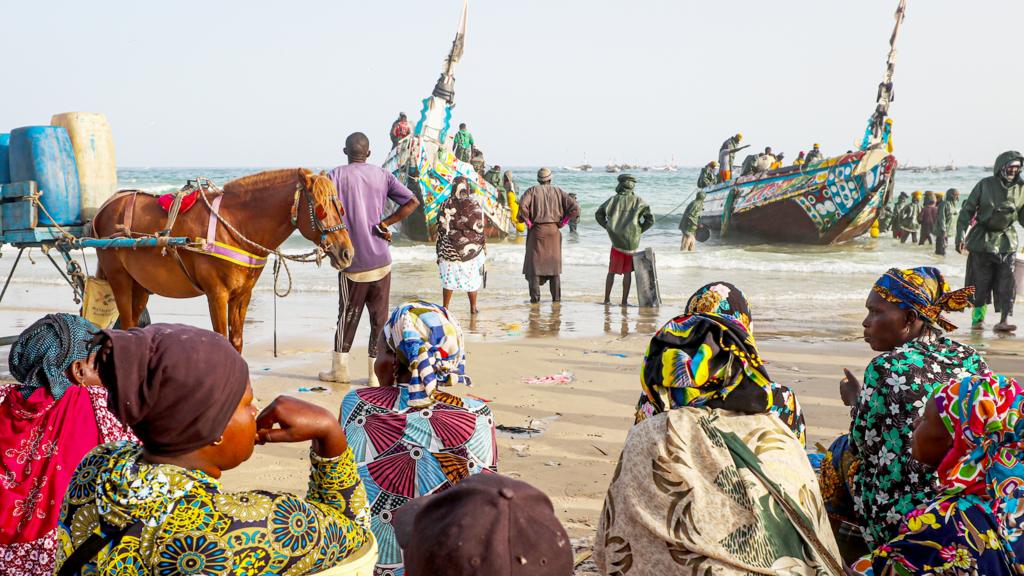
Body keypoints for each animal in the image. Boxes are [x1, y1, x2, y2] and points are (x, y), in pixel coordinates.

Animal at [94, 168, 354, 350]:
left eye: (340, 206)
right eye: (320, 208)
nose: (347, 252)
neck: (236, 223)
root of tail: (105, 206)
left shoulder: (243, 295)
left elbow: (236, 340)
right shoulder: (217, 293)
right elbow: (221, 337)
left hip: (140, 285)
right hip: (119, 279)